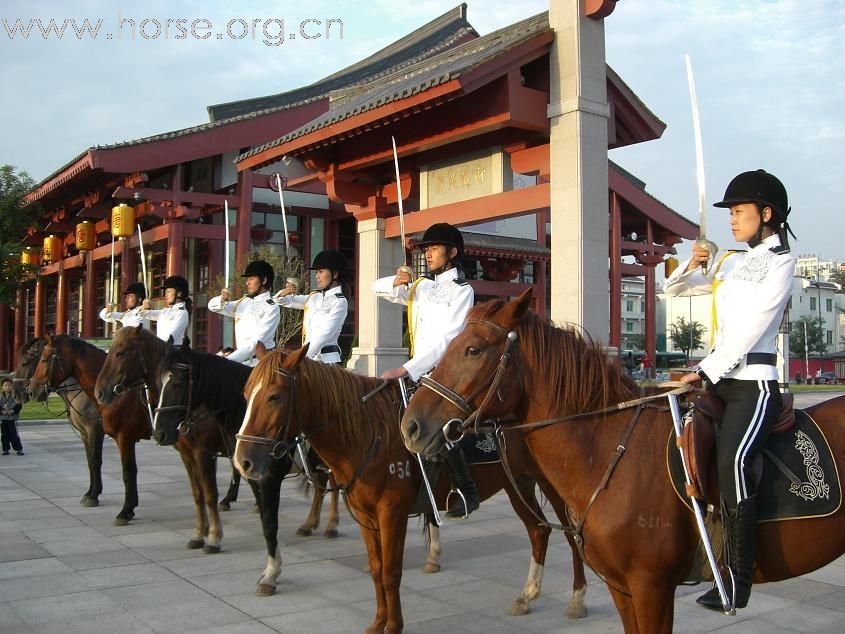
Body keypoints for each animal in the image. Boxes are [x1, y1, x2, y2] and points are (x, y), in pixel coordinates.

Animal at [14, 338, 104, 506]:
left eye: (25, 362)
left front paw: (93, 496)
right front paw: (90, 493)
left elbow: (96, 461)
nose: (16, 394)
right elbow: (90, 461)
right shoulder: (85, 433)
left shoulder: (95, 430)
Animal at [27, 334, 153, 520]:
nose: (31, 391)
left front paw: (118, 506)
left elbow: (114, 467)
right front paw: (91, 493)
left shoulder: (108, 434)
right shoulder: (86, 434)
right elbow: (91, 461)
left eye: (42, 359)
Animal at [231, 346, 588, 632]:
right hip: (517, 484)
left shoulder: (392, 513)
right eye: (246, 393)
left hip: (553, 485)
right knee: (539, 531)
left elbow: (391, 572)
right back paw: (527, 596)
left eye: (275, 396)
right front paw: (378, 623)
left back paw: (577, 598)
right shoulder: (366, 517)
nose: (243, 461)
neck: (369, 434)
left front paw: (393, 626)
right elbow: (376, 570)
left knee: (572, 535)